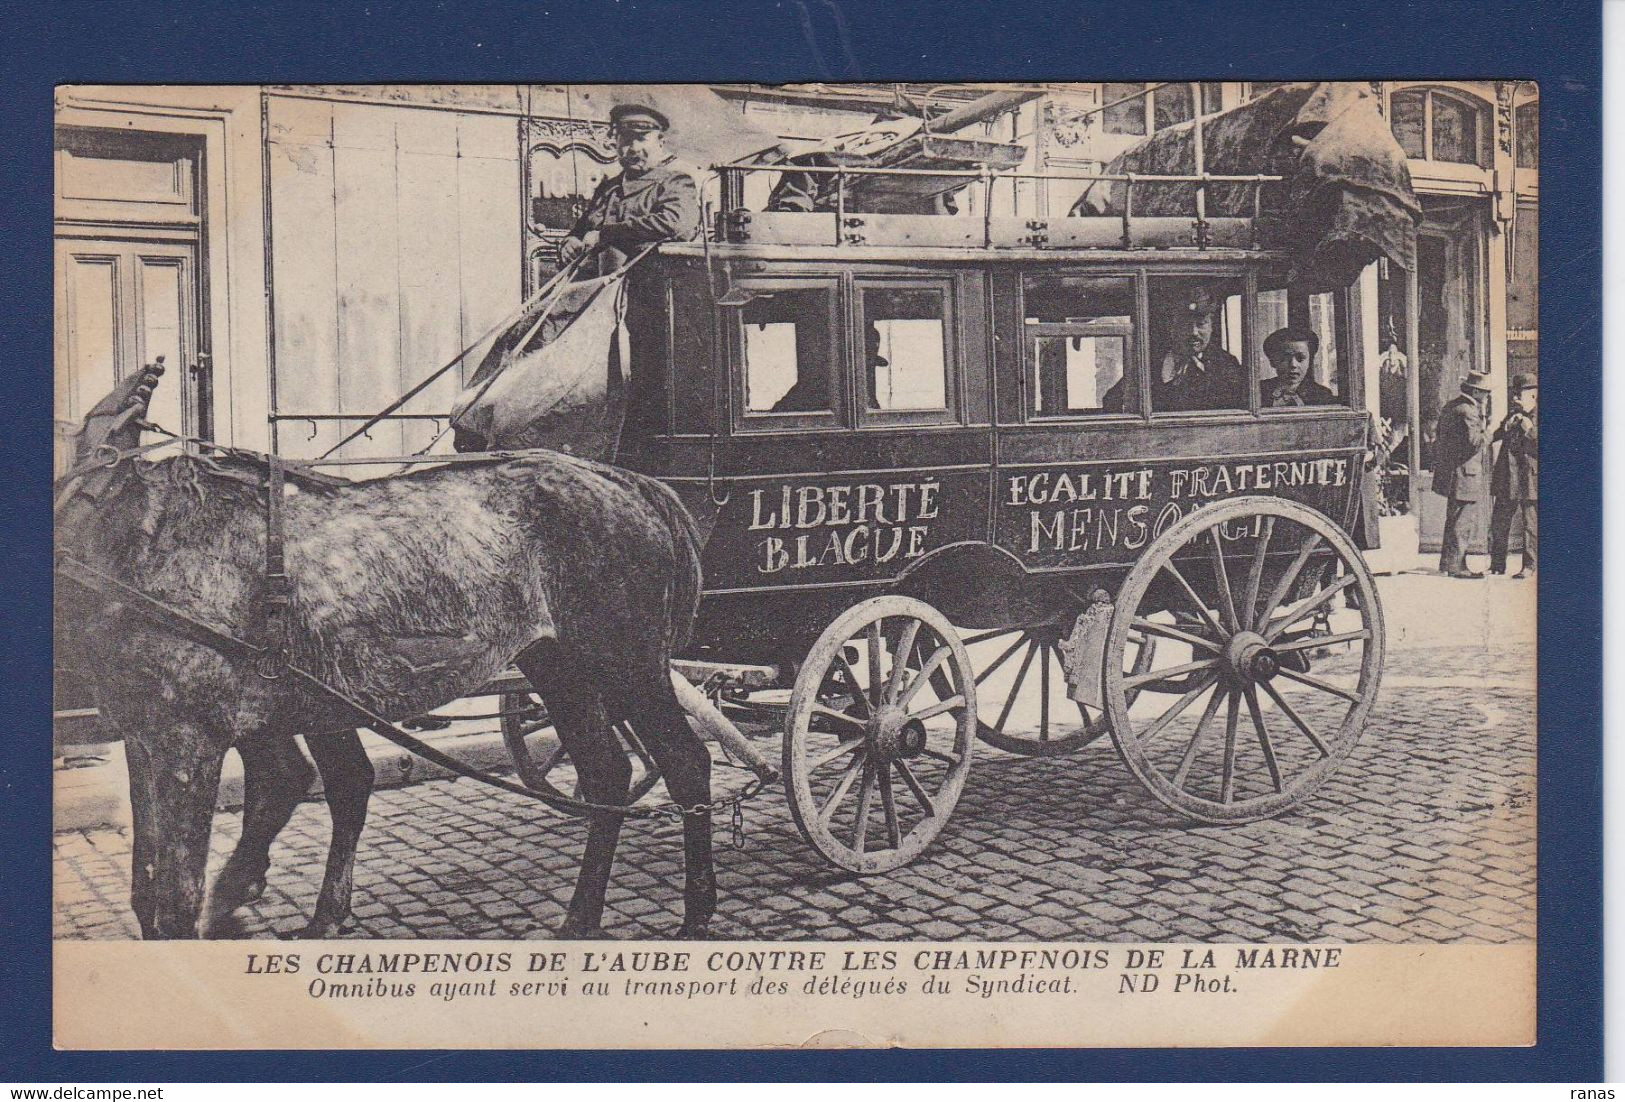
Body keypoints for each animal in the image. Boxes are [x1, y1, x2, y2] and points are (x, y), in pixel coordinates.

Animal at [54, 368, 715, 942]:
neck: (136, 538)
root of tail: (625, 481)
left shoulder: (190, 742)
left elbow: (175, 897)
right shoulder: (147, 736)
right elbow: (147, 884)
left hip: (627, 662)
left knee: (686, 763)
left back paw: (695, 915)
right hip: (559, 667)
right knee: (607, 773)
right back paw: (581, 919)